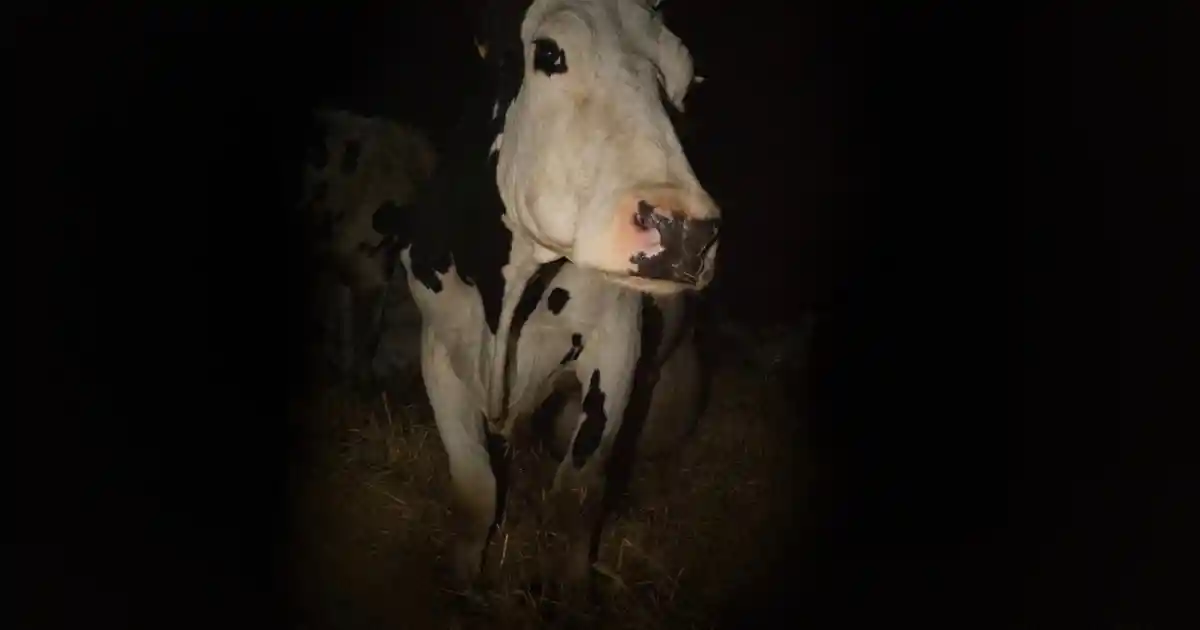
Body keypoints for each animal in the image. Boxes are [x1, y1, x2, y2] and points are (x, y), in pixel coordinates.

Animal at [382, 0, 719, 604]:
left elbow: (577, 492)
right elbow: (475, 488)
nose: (686, 231)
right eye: (549, 53)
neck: (507, 297)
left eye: (687, 82)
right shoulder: (437, 347)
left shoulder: (615, 349)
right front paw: (462, 583)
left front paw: (569, 593)